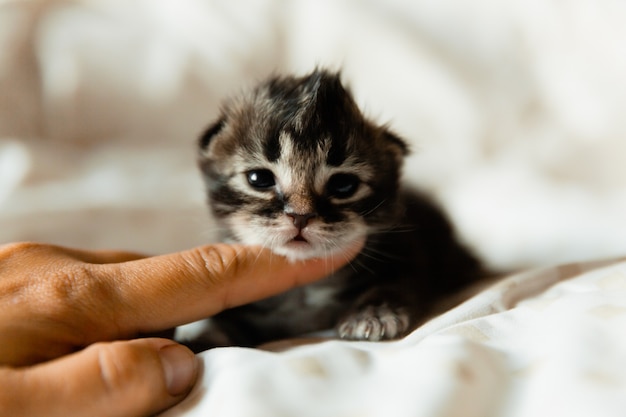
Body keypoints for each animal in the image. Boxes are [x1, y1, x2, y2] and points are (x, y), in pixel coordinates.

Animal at [188, 69, 480, 348]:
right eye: (259, 179)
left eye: (343, 185)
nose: (300, 216)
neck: (304, 295)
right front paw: (205, 339)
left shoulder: (407, 253)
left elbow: (395, 281)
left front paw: (372, 314)